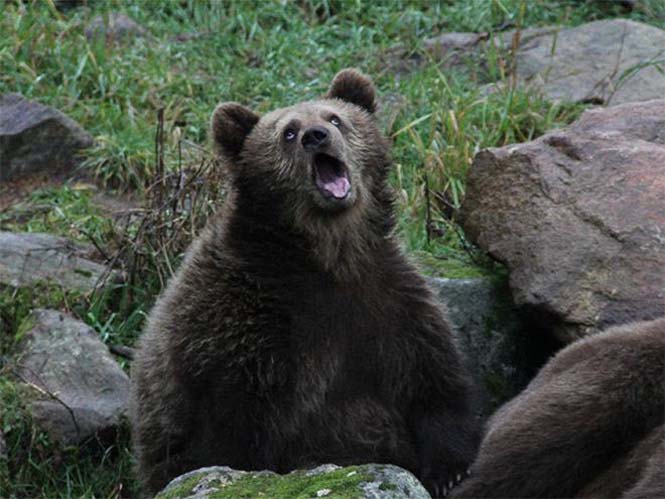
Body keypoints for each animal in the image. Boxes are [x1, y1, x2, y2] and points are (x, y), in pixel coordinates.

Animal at [130, 69, 480, 496]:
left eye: (335, 118)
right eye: (288, 132)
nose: (316, 135)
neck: (327, 257)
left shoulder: (388, 301)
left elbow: (432, 381)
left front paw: (450, 470)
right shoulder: (245, 330)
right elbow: (234, 436)